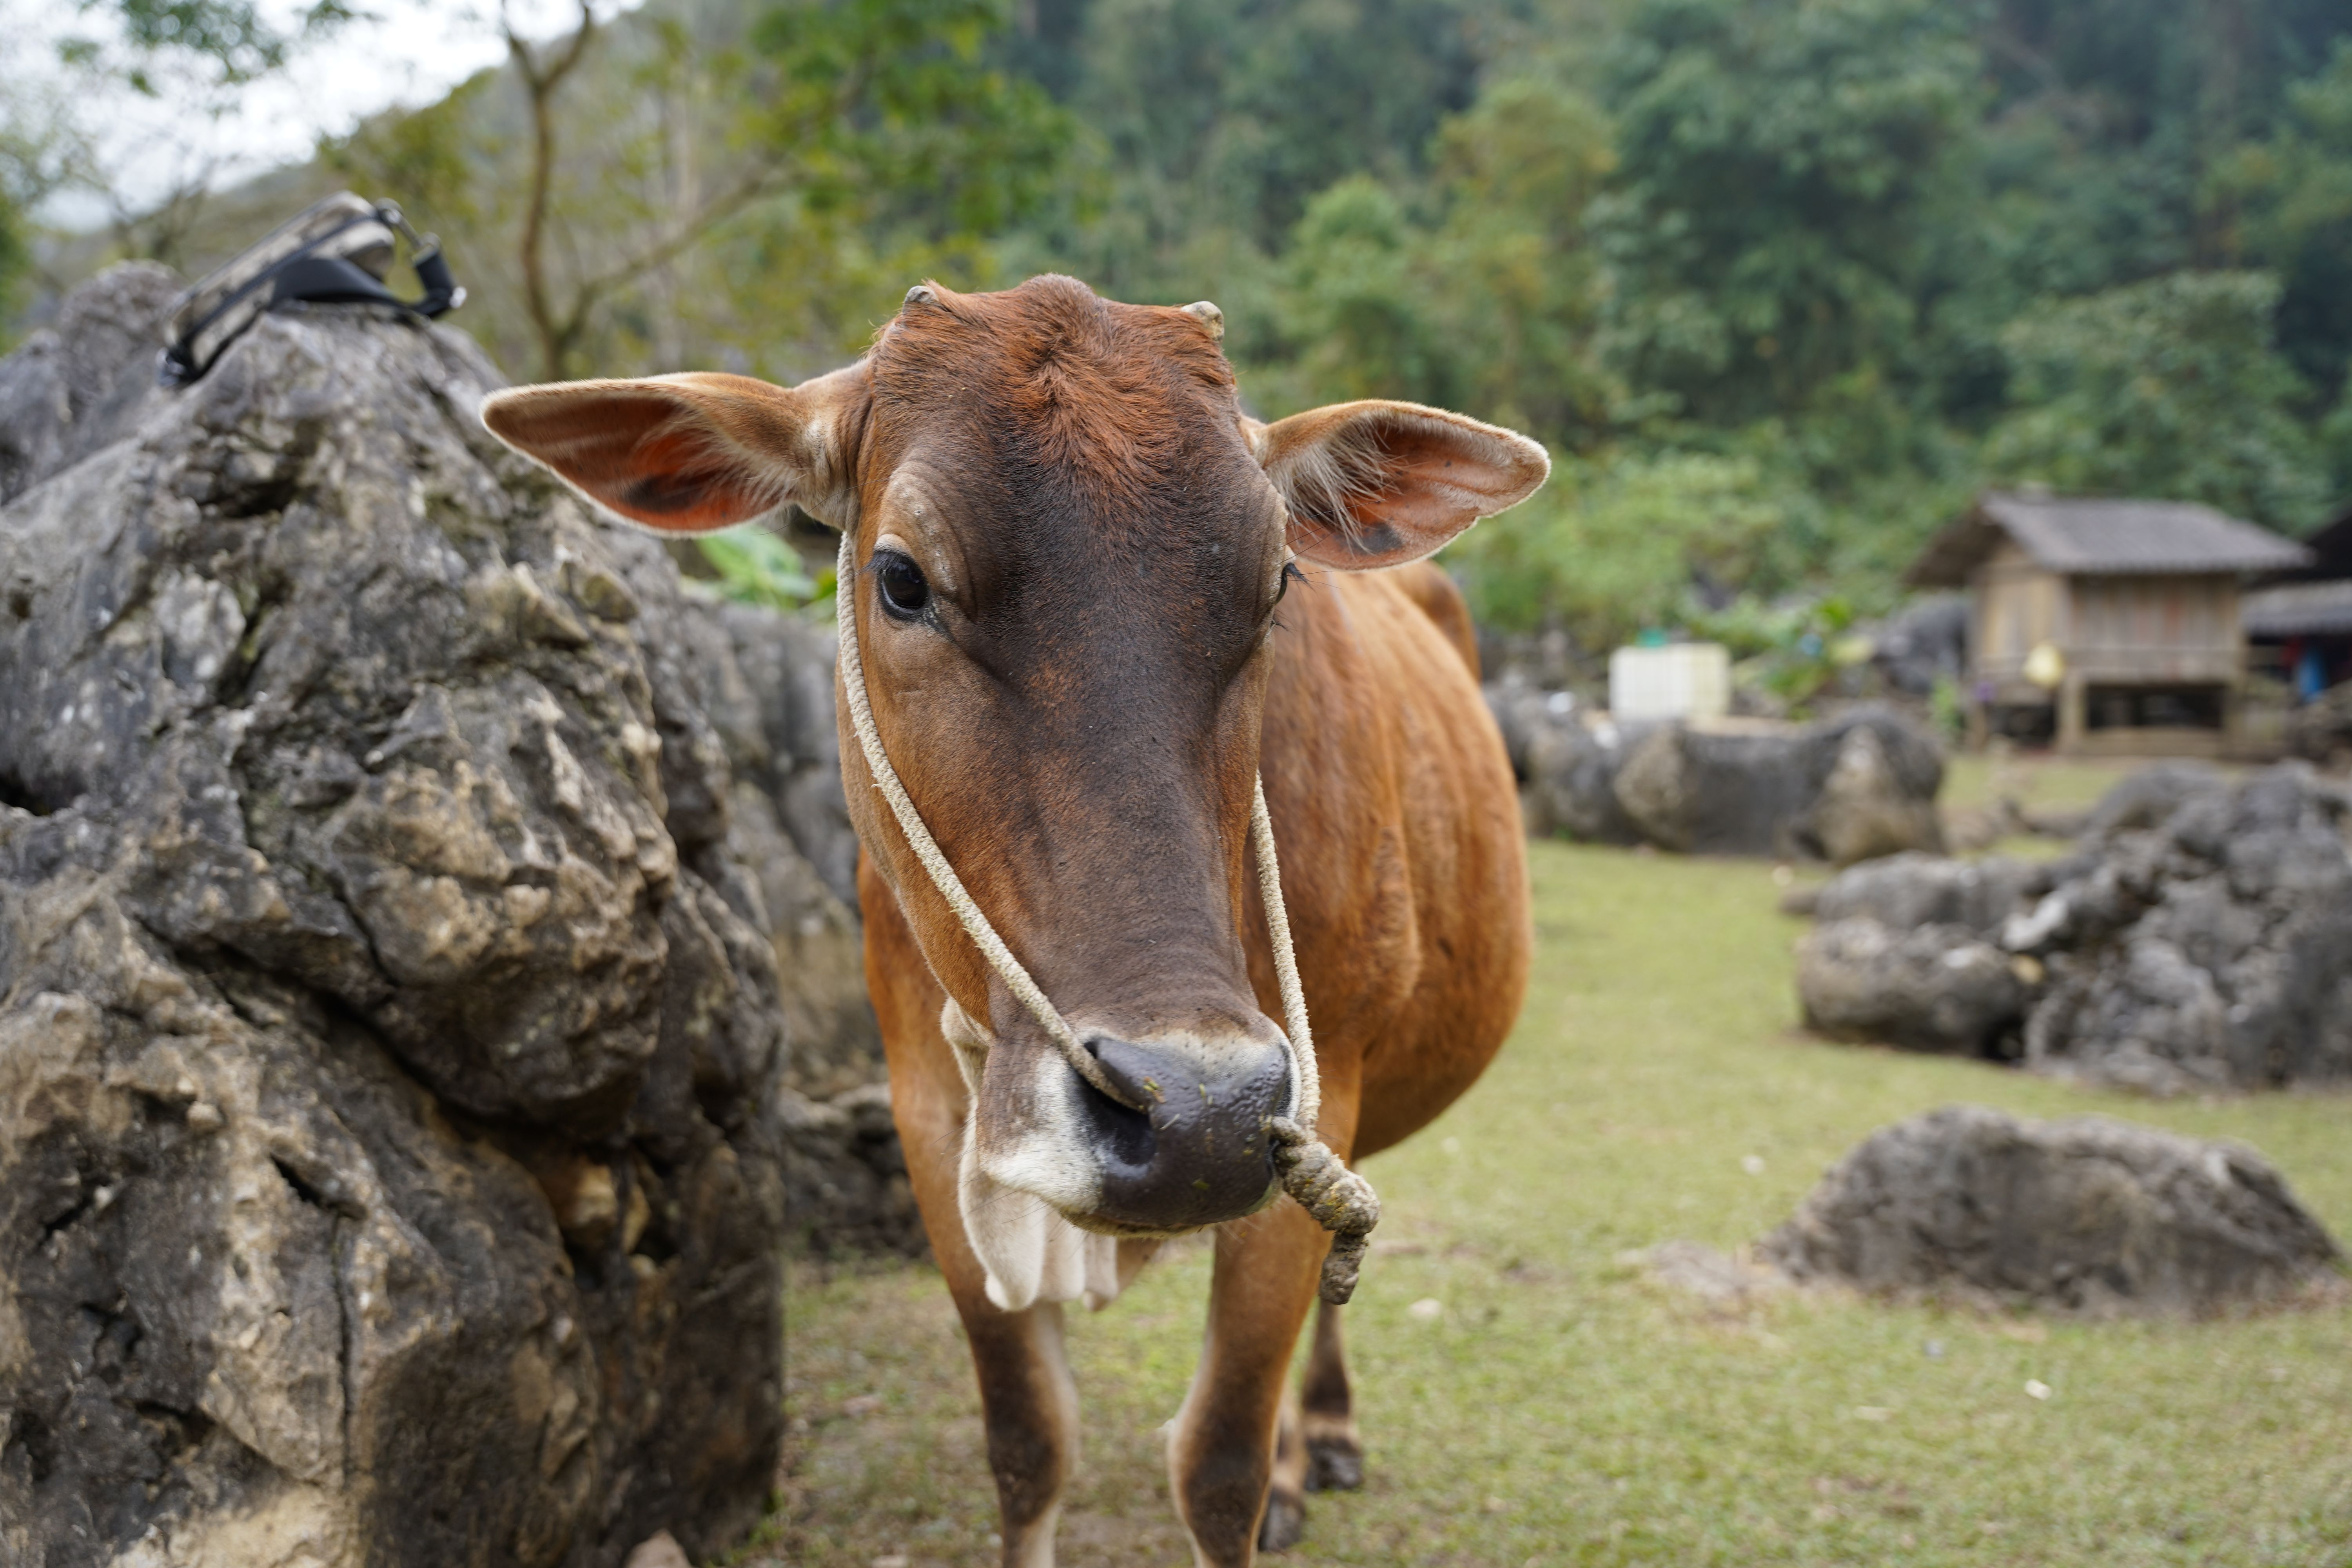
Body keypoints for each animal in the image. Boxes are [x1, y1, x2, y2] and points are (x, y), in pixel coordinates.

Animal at [481, 274, 1544, 1567]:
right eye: (901, 579)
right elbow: (1029, 1441)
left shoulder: (1312, 1089)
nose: (1191, 1113)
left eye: (1278, 583)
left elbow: (1221, 1464)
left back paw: (1320, 1438)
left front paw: (1272, 1461)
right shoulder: (930, 1118)